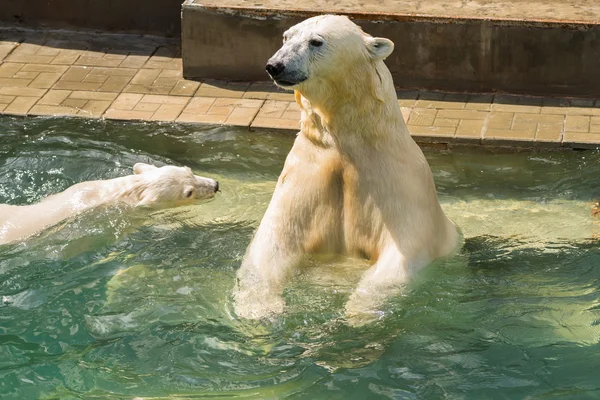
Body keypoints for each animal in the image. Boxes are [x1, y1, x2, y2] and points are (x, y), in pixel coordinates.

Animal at [234, 14, 460, 324]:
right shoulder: (306, 173)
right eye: (286, 37)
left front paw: (357, 311)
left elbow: (403, 253)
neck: (348, 144)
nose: (275, 65)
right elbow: (274, 243)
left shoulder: (398, 185)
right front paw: (260, 307)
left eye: (316, 41)